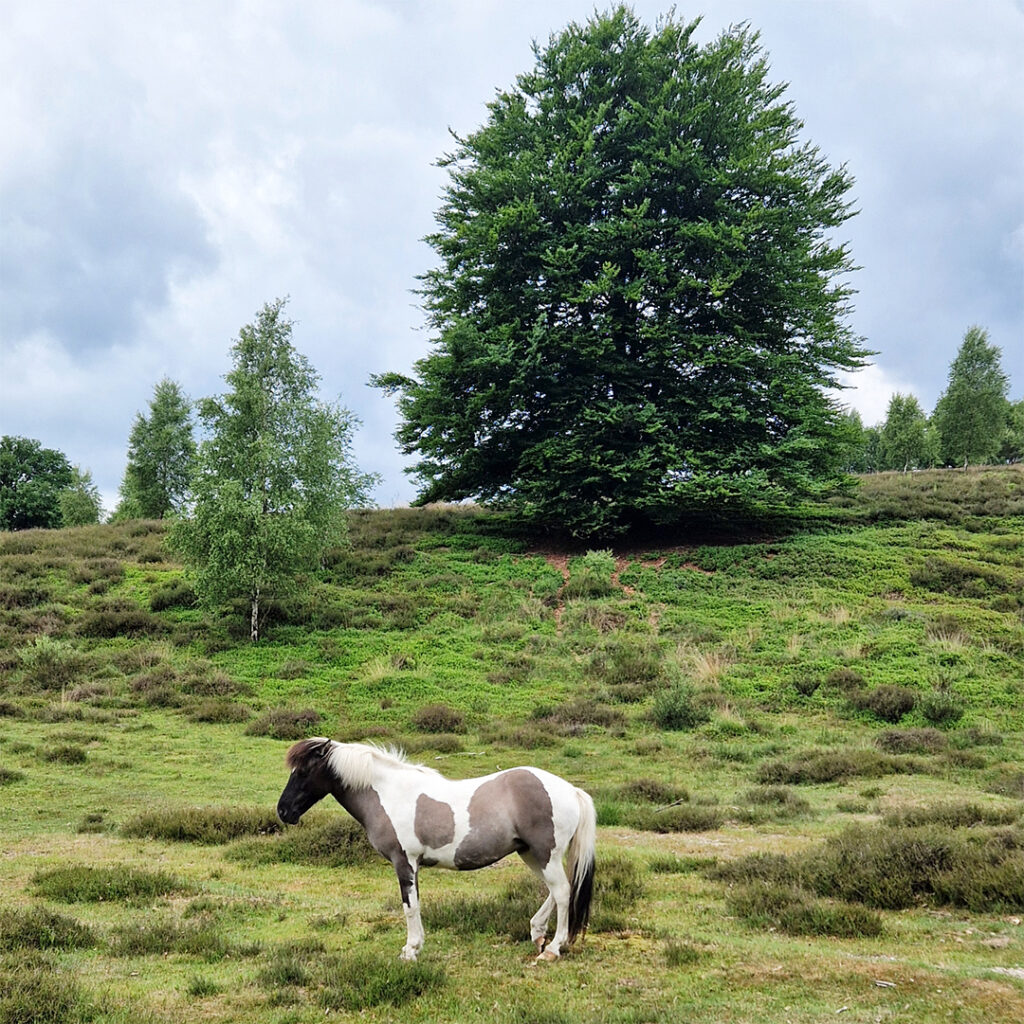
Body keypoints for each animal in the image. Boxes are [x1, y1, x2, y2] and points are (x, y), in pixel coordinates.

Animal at [276, 738, 596, 962]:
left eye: (303, 771)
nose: (283, 811)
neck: (389, 793)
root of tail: (571, 790)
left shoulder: (404, 862)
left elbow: (410, 906)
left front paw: (410, 950)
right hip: (531, 854)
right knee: (558, 890)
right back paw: (537, 933)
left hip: (545, 855)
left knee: (562, 892)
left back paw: (553, 948)